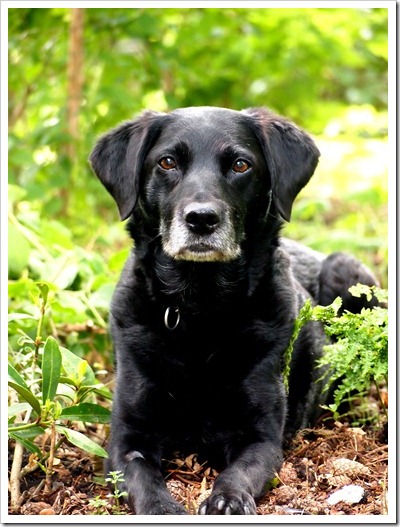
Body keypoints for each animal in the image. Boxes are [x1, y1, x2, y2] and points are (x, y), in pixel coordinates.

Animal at [90, 106, 377, 515]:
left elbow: (239, 471)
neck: (201, 308)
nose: (201, 219)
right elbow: (144, 479)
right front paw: (163, 508)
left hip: (346, 268)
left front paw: (227, 499)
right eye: (167, 162)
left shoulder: (259, 436)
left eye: (241, 164)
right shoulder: (127, 438)